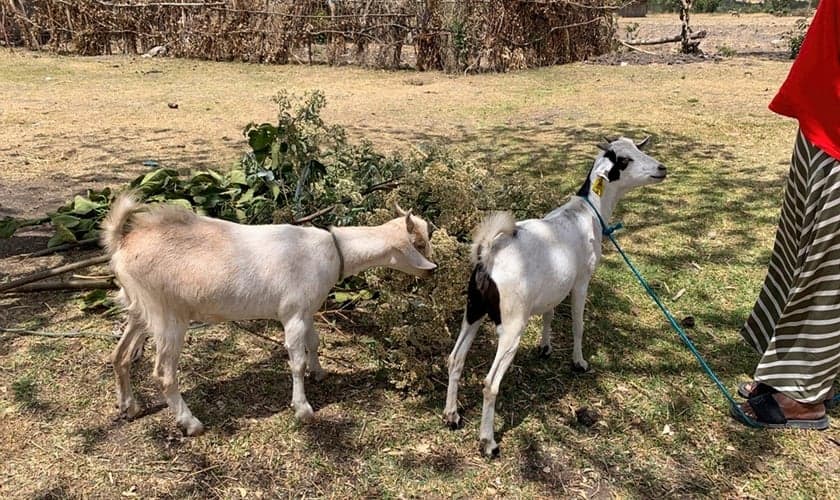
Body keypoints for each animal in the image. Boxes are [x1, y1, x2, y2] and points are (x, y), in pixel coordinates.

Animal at [102, 194, 436, 435]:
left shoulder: (307, 309)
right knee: (163, 373)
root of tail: (122, 242)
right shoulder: (293, 313)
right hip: (168, 315)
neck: (333, 250)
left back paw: (129, 406)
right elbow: (296, 360)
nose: (434, 270)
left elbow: (314, 343)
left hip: (138, 308)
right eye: (419, 243)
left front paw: (319, 371)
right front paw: (303, 408)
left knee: (119, 356)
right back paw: (191, 423)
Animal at [443, 137, 667, 458]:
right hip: (511, 325)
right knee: (489, 383)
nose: (662, 168)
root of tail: (488, 255)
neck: (587, 213)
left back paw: (452, 415)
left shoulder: (553, 287)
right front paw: (579, 362)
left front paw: (545, 346)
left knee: (455, 358)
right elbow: (578, 324)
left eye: (638, 148)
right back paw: (488, 442)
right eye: (624, 160)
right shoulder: (582, 280)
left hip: (473, 310)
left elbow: (549, 313)